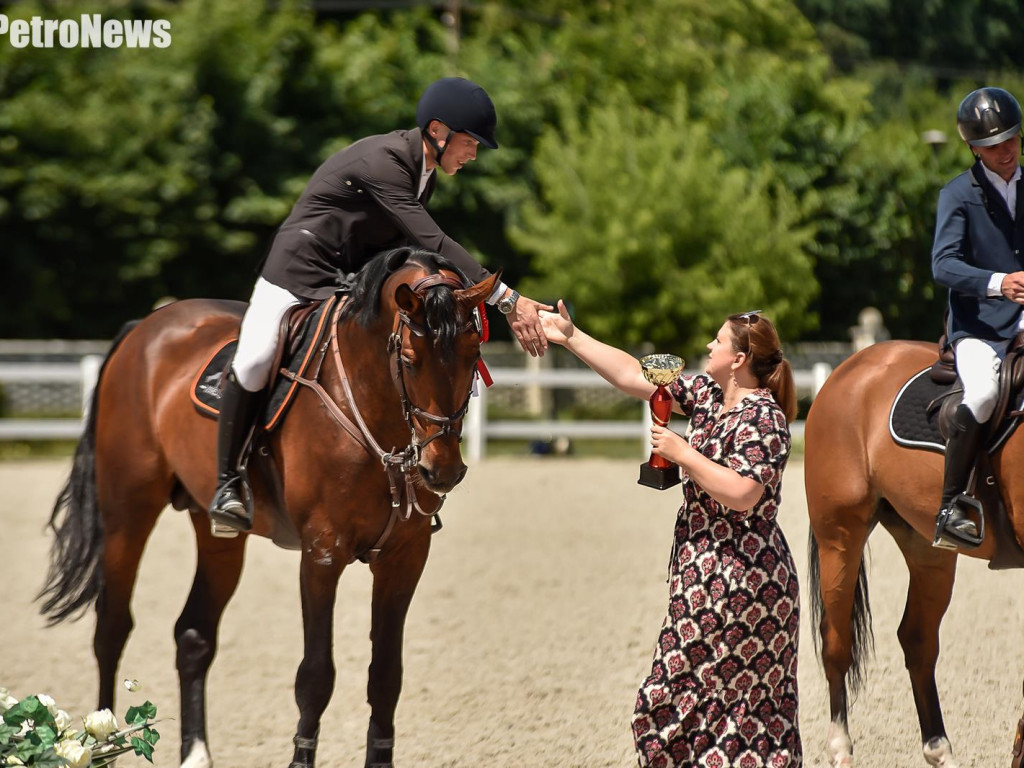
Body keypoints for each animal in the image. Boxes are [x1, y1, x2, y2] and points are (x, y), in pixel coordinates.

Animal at [38, 246, 499, 768]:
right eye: (408, 359)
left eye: (473, 355)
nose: (442, 471)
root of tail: (146, 327)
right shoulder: (322, 554)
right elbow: (315, 675)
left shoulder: (404, 557)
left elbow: (386, 675)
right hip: (127, 513)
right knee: (112, 628)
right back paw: (101, 743)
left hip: (217, 533)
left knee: (193, 634)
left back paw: (196, 753)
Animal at [806, 342, 1024, 768]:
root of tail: (855, 364)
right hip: (839, 537)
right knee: (836, 642)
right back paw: (840, 747)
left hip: (927, 550)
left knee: (917, 640)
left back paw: (939, 749)